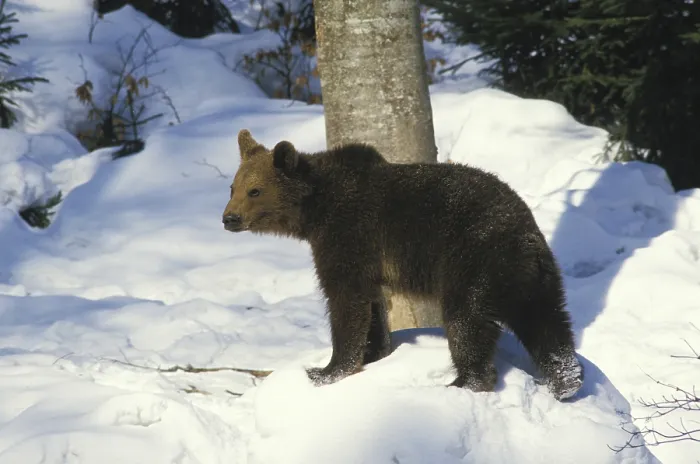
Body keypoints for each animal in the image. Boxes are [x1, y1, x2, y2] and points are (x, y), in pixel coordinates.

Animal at [222, 129, 584, 401]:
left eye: (255, 190)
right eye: (233, 187)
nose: (229, 218)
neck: (315, 211)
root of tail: (524, 234)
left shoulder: (349, 235)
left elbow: (346, 300)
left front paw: (324, 371)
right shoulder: (367, 261)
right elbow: (372, 307)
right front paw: (373, 352)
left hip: (472, 262)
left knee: (466, 321)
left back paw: (461, 382)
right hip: (535, 278)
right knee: (549, 325)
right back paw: (566, 380)